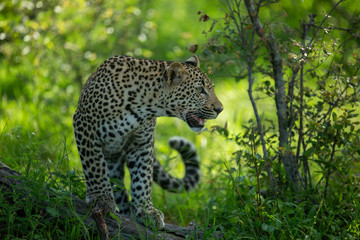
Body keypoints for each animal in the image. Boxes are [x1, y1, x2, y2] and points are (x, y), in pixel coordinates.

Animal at [73, 54, 224, 229]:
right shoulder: (85, 125)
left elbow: (142, 178)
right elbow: (95, 166)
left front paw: (146, 210)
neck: (144, 105)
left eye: (211, 88)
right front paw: (101, 198)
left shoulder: (141, 143)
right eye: (200, 90)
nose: (220, 109)